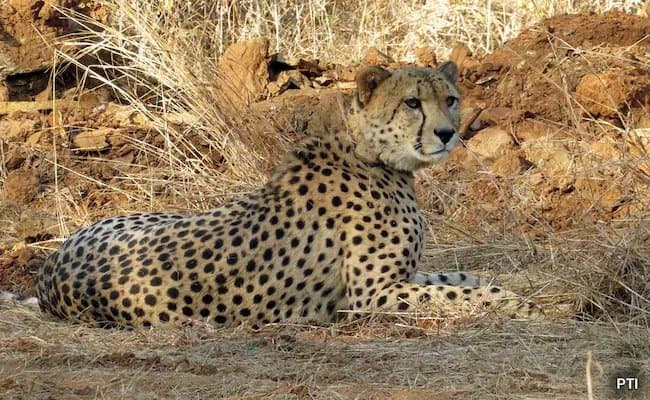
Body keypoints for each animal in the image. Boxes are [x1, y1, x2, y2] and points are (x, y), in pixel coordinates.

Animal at [34, 61, 541, 328]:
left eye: (450, 99)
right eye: (412, 103)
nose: (447, 133)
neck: (373, 155)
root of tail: (48, 271)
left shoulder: (401, 278)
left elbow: (460, 277)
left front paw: (504, 288)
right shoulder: (371, 295)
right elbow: (455, 293)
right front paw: (515, 303)